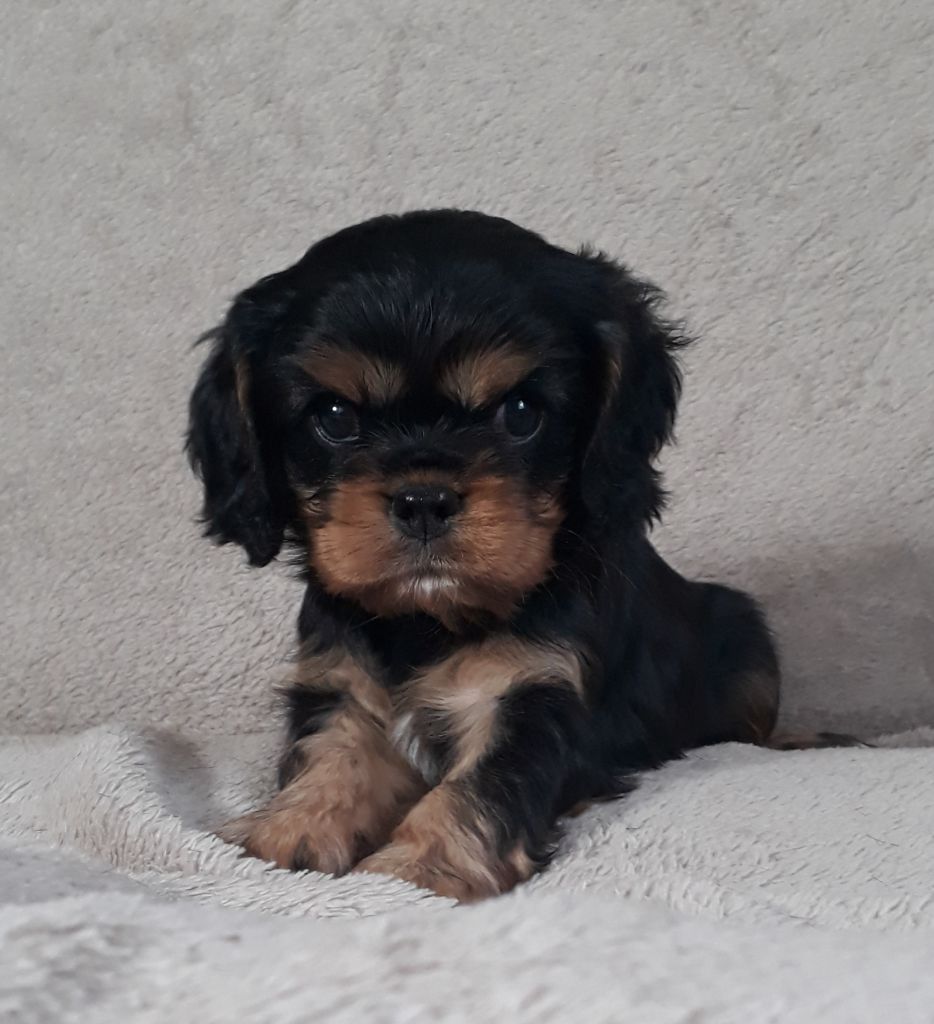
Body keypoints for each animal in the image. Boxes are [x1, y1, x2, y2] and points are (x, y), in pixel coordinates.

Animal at [188, 209, 803, 901]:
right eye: (335, 417)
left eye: (522, 412)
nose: (424, 498)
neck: (428, 619)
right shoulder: (340, 681)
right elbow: (334, 752)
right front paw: (290, 827)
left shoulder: (535, 694)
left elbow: (478, 788)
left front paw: (420, 866)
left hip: (746, 639)